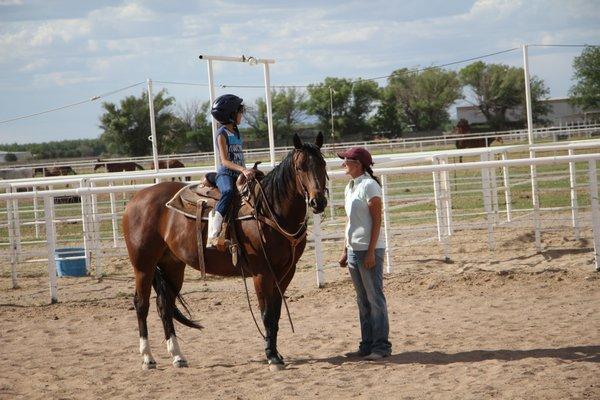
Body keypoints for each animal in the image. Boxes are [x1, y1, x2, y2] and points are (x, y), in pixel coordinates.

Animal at [122, 133, 328, 370]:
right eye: (300, 167)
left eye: (322, 164)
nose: (318, 201)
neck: (269, 210)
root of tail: (137, 199)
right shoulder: (262, 273)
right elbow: (266, 313)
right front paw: (272, 356)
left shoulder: (286, 272)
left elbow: (276, 313)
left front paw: (276, 353)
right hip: (143, 266)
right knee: (141, 304)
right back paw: (148, 357)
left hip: (172, 265)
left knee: (165, 305)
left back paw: (177, 356)